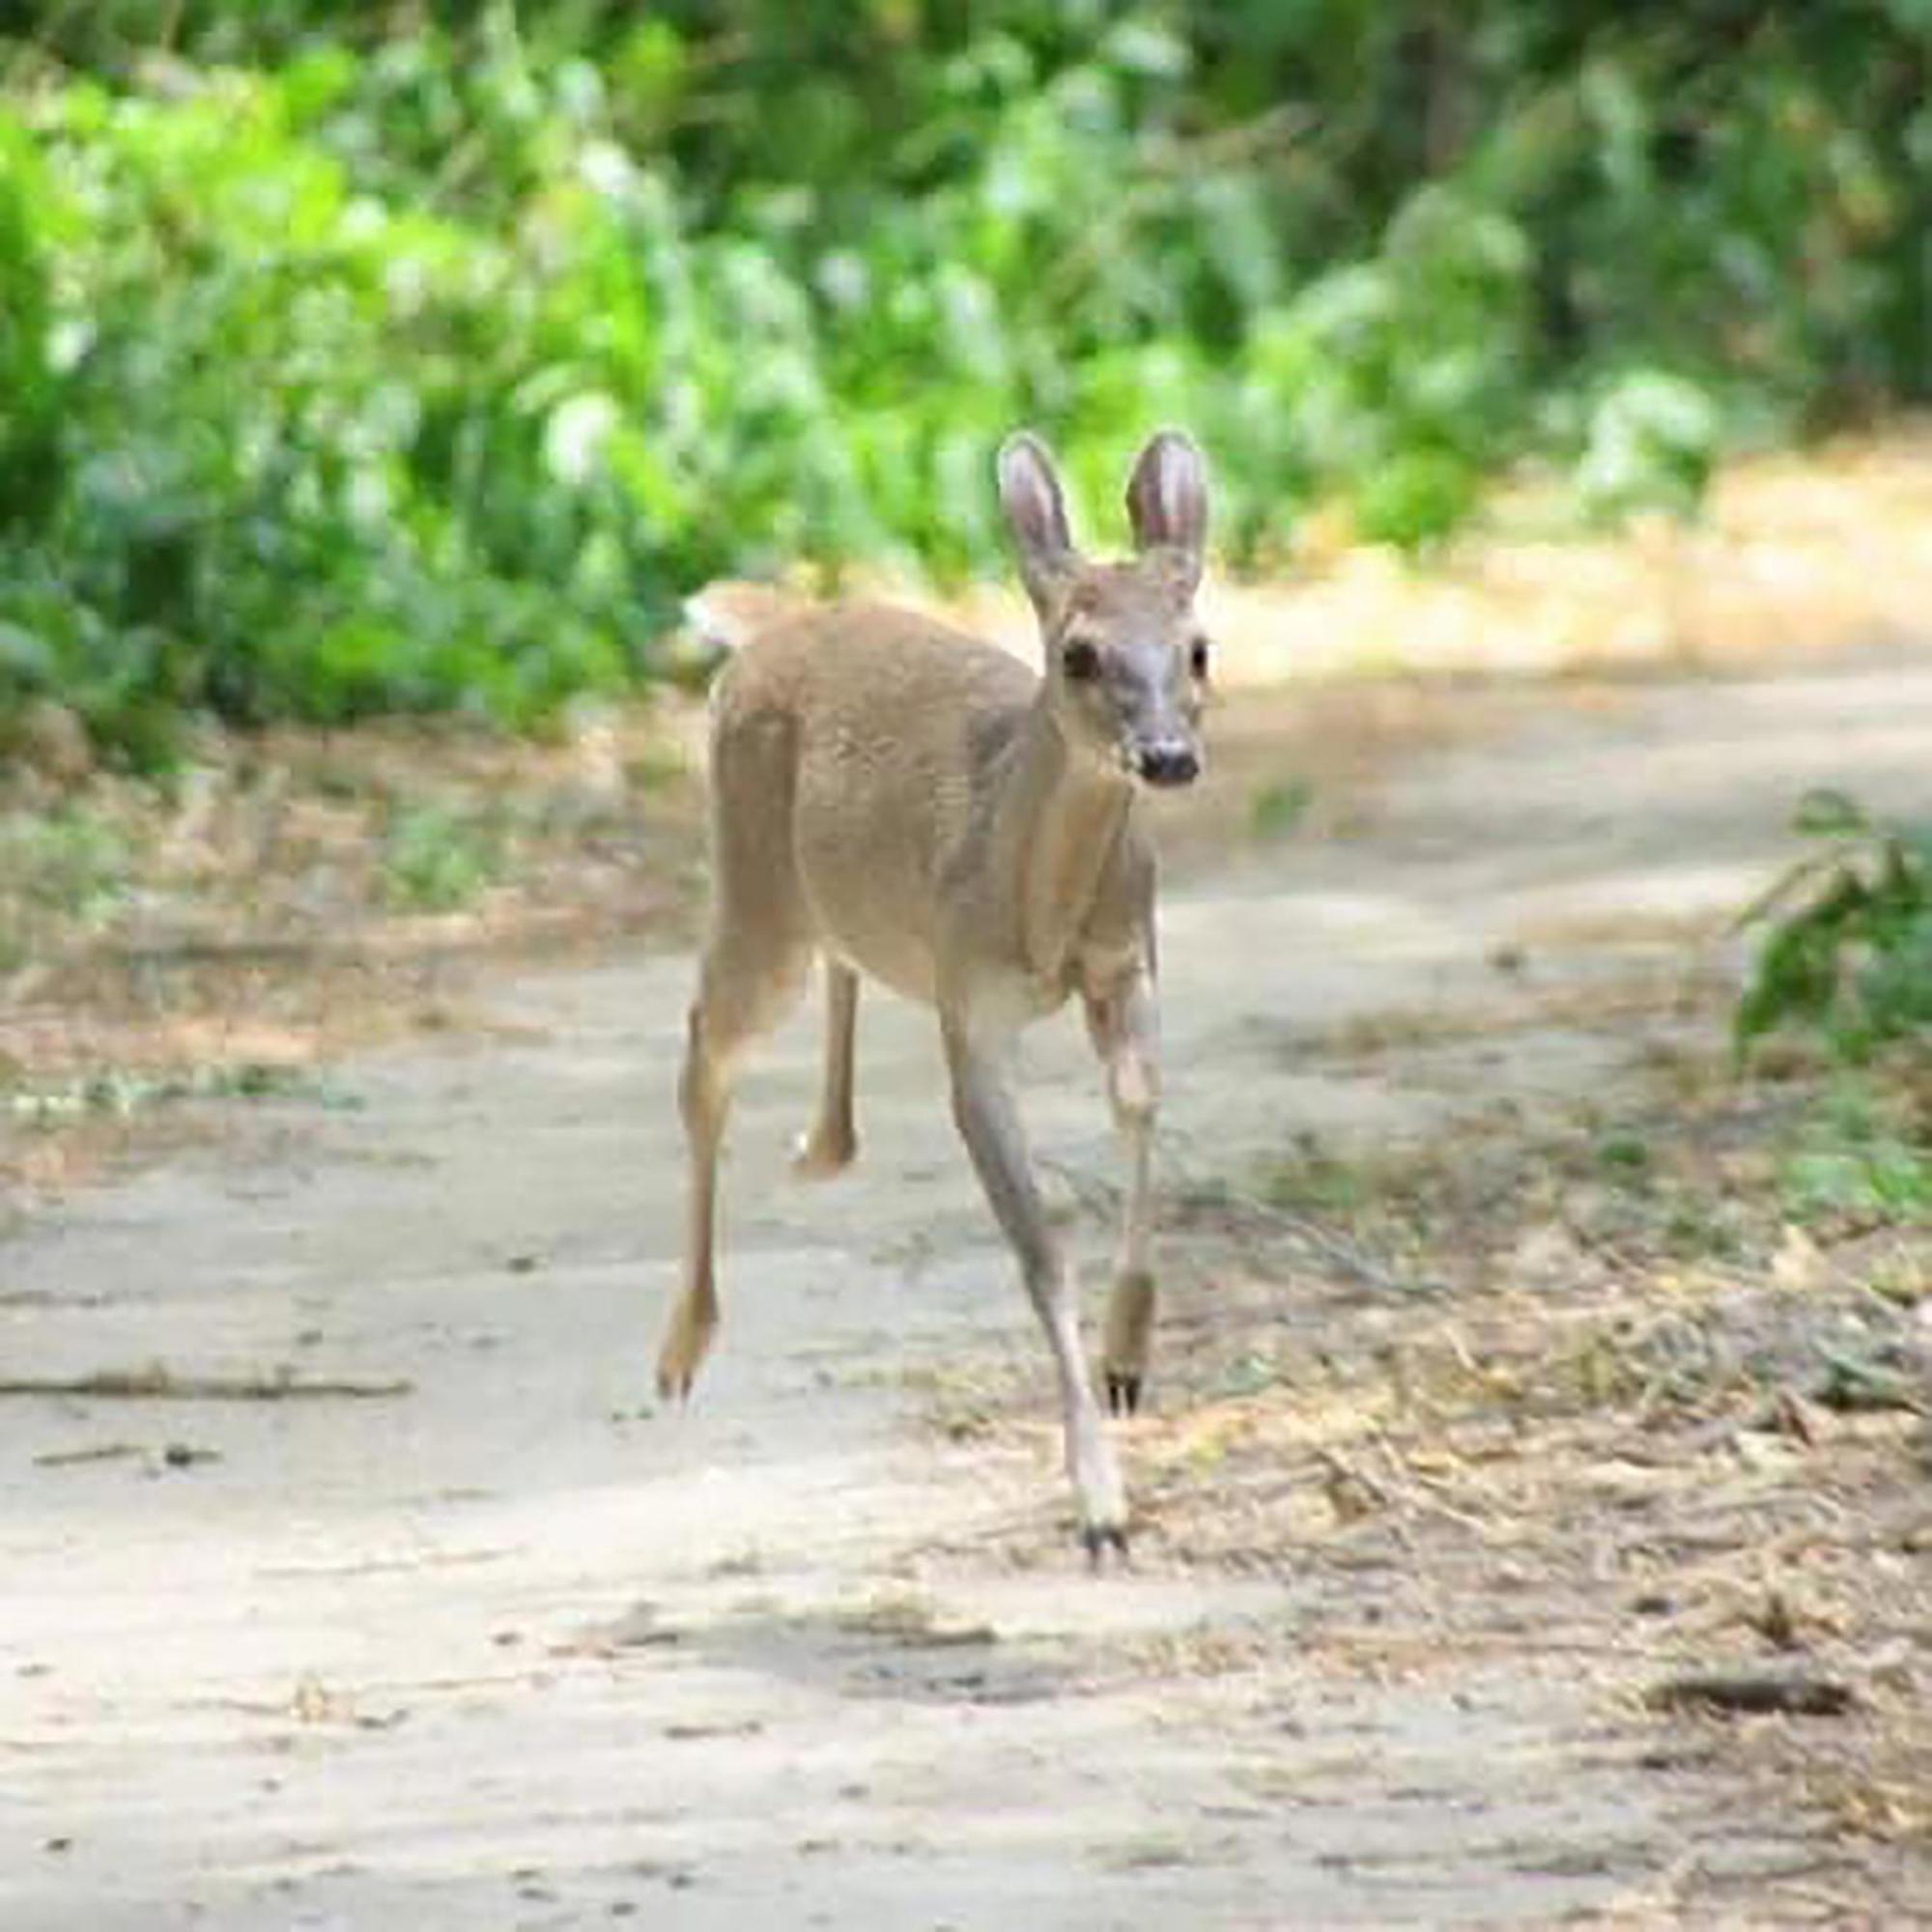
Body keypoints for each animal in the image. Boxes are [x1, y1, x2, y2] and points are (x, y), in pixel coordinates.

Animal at [657, 427, 1213, 1553]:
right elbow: (1039, 1248)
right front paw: (1099, 1502)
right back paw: (682, 1348)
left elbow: (1144, 1104)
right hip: (752, 885)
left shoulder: (1126, 961)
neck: (1038, 914)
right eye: (1078, 653)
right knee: (705, 1048)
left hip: (828, 898)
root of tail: (766, 631)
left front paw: (1128, 1359)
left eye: (1198, 648)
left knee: (839, 969)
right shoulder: (974, 1013)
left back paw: (820, 1147)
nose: (1168, 757)